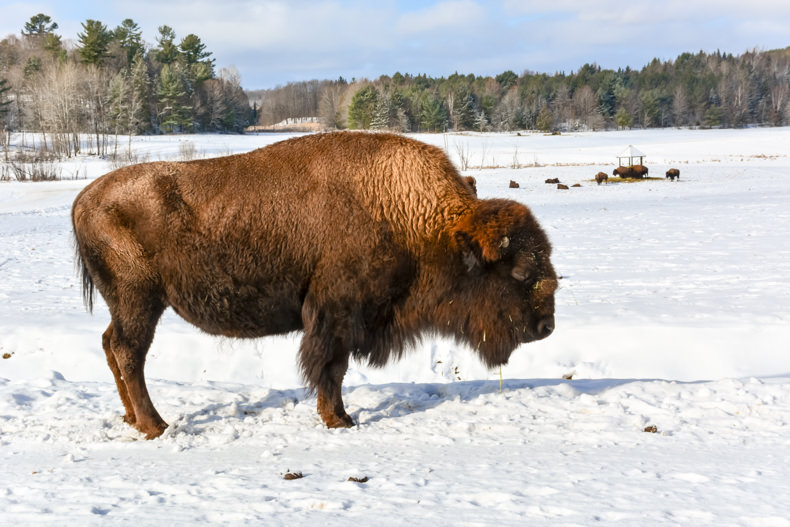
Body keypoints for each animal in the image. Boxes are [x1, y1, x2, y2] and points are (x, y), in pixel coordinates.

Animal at [71, 131, 560, 438]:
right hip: (139, 301)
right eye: (518, 272)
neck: (420, 221)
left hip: (129, 305)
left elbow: (334, 369)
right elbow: (331, 368)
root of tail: (83, 200)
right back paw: (155, 425)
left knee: (111, 345)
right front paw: (339, 419)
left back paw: (133, 419)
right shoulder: (336, 314)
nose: (546, 326)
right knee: (129, 352)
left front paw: (340, 417)